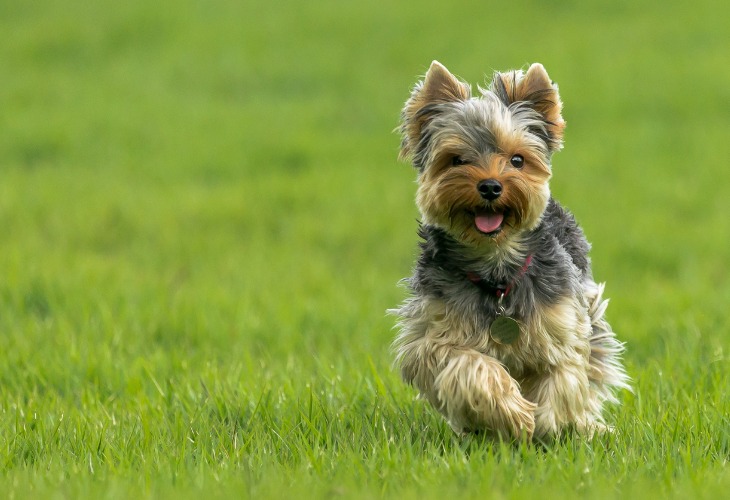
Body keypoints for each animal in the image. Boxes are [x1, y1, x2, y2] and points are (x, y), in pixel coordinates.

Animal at [390, 60, 628, 440]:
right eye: (457, 160)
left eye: (517, 160)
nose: (490, 186)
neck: (496, 267)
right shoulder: (433, 335)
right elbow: (469, 367)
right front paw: (511, 414)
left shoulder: (563, 323)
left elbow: (563, 378)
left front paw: (547, 424)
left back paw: (591, 428)